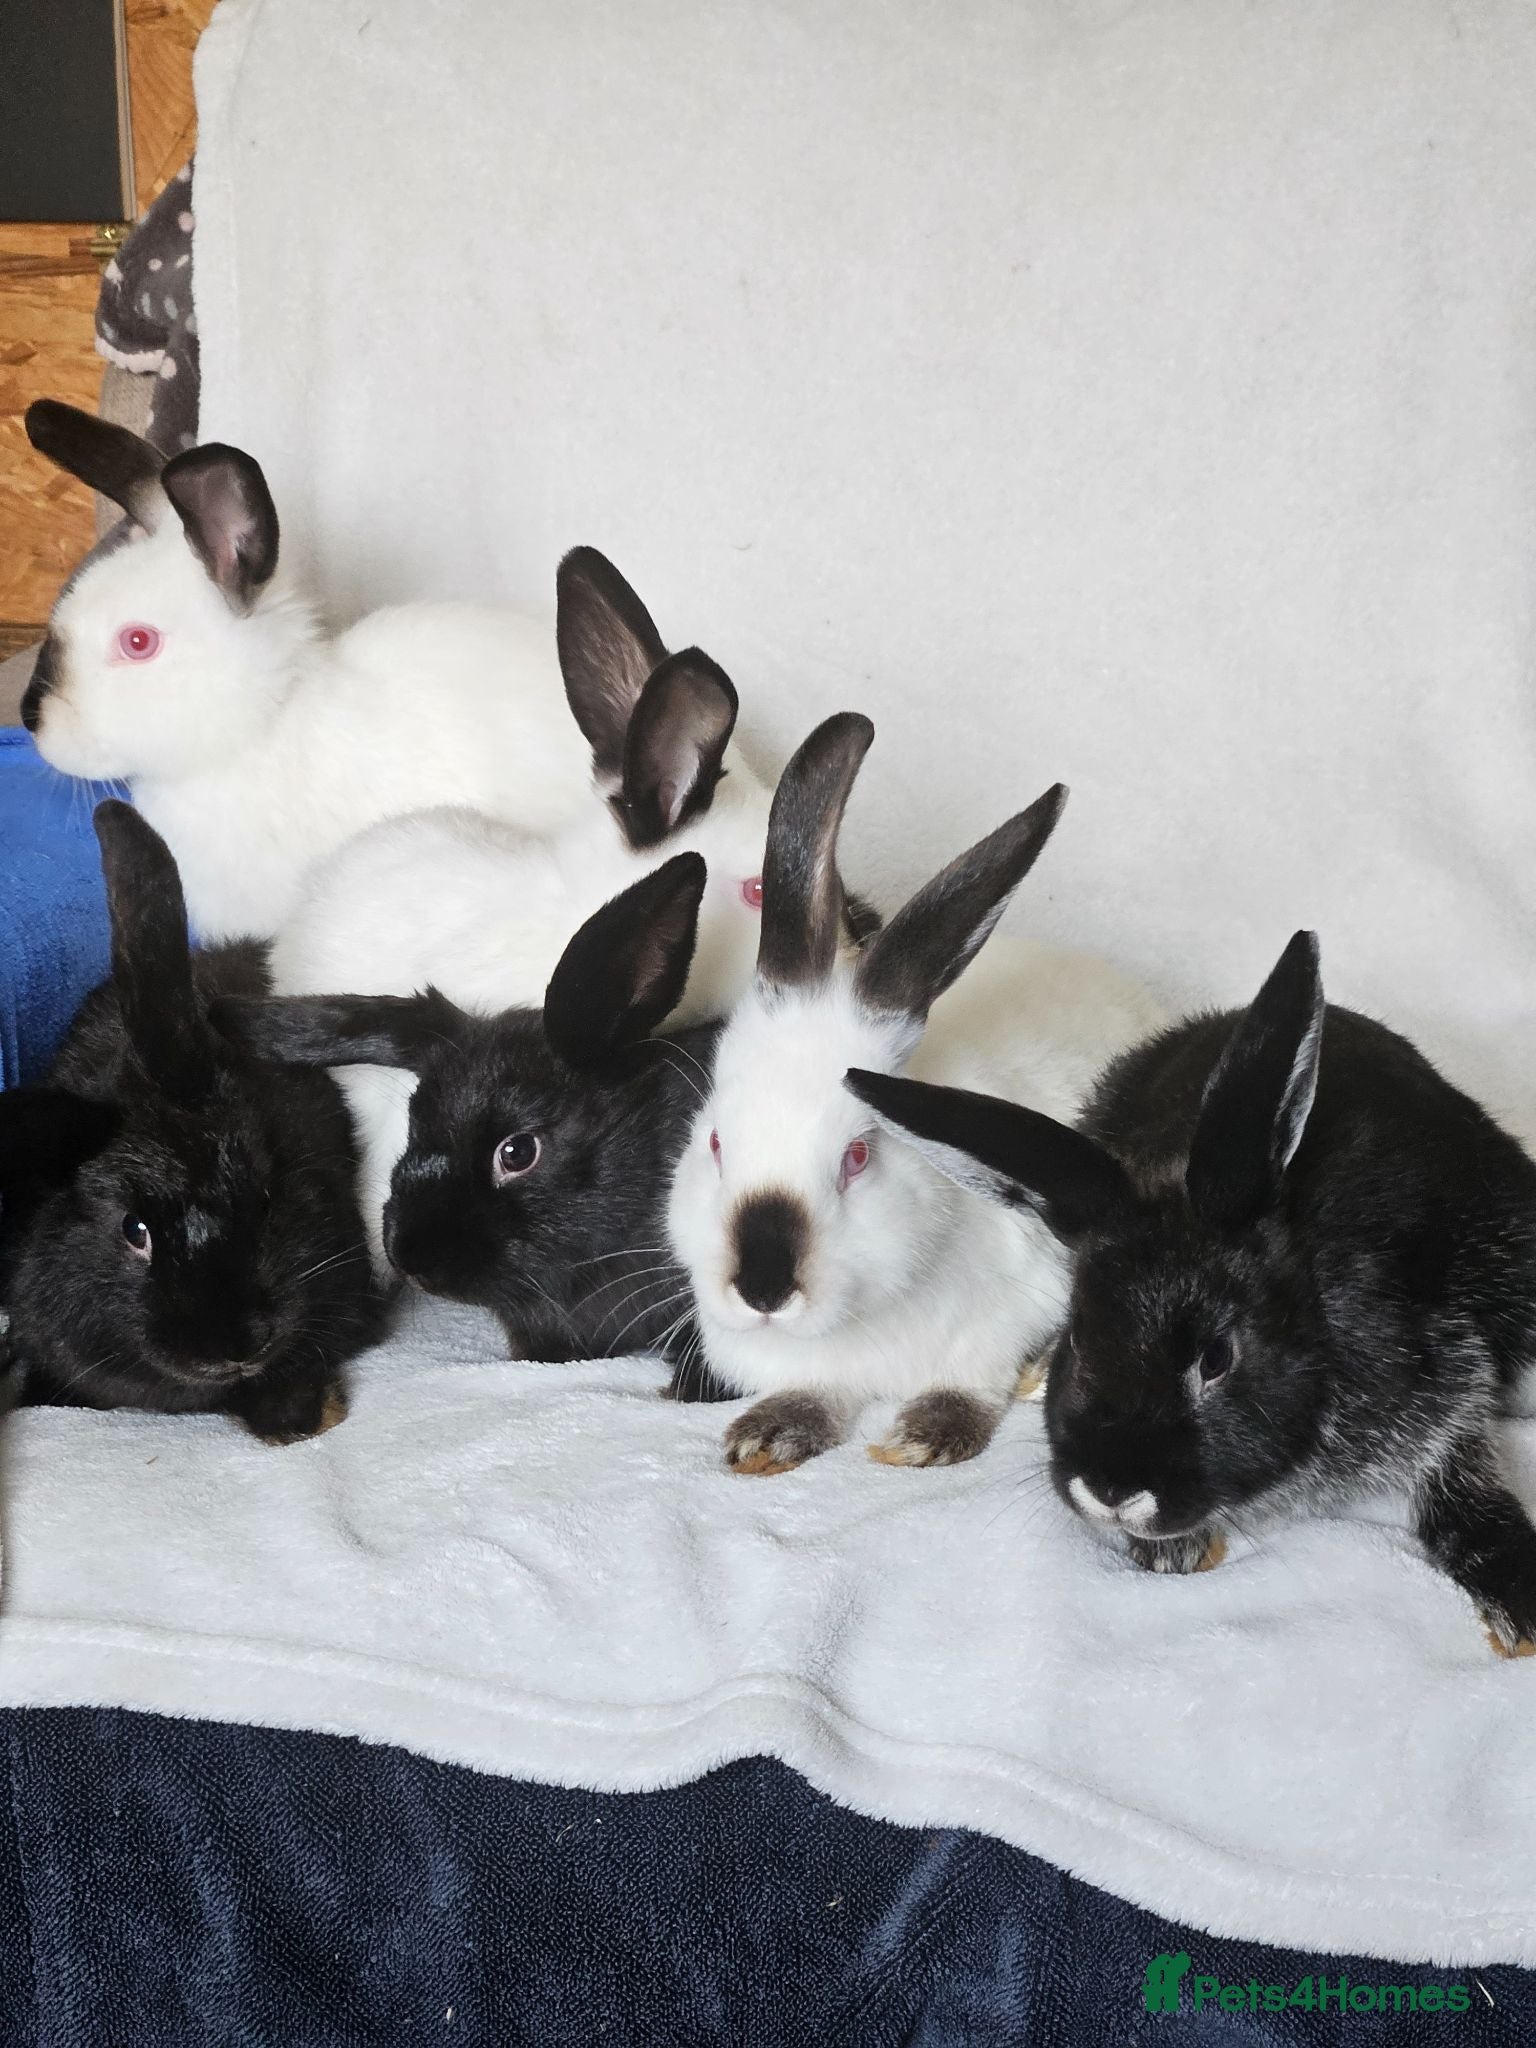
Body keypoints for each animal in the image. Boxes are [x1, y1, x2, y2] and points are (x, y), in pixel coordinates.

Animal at [665, 711, 1165, 1476]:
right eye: (717, 1143)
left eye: (858, 1157)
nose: (763, 1289)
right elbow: (812, 1393)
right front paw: (767, 1435)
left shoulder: (1008, 1312)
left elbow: (970, 1383)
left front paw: (924, 1436)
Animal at [849, 929, 1536, 1657]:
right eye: (1078, 1336)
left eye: (1217, 1360)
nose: (1112, 1491)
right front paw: (1171, 1549)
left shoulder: (1445, 1376)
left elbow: (1460, 1473)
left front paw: (1520, 1604)